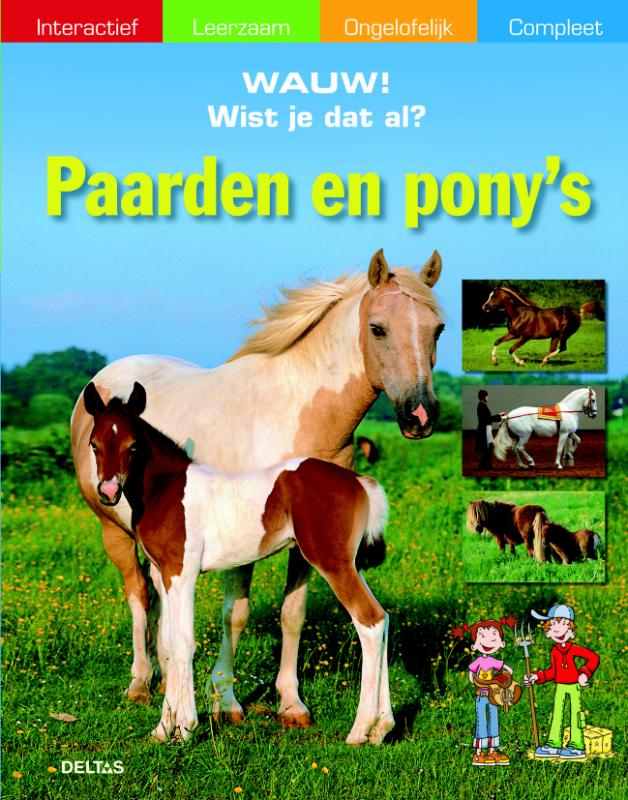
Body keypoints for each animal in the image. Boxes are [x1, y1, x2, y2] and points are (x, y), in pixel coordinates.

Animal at [84, 381, 393, 745]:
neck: (166, 490)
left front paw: (186, 726)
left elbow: (184, 642)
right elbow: (170, 644)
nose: (108, 492)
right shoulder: (163, 575)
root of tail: (360, 482)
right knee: (384, 620)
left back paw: (360, 730)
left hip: (332, 563)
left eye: (133, 446)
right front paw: (163, 729)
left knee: (370, 622)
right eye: (94, 444)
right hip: (351, 563)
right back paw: (383, 727)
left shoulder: (182, 572)